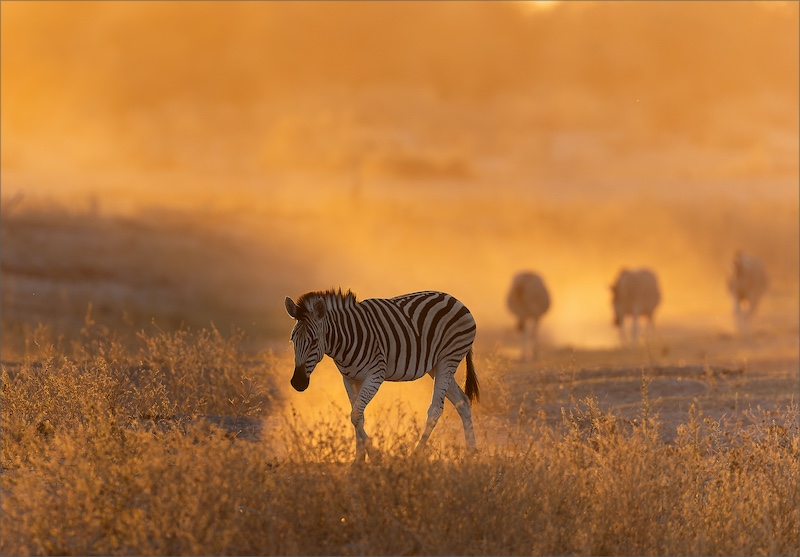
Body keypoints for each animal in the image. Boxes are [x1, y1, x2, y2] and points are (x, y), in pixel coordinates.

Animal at [284, 289, 479, 463]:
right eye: (293, 340)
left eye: (314, 341)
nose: (298, 383)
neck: (345, 339)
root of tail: (455, 300)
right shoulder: (349, 379)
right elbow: (358, 416)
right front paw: (359, 461)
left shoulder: (375, 375)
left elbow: (355, 415)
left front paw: (375, 456)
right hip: (436, 365)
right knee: (462, 401)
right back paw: (470, 454)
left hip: (448, 358)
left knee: (436, 409)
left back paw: (416, 455)